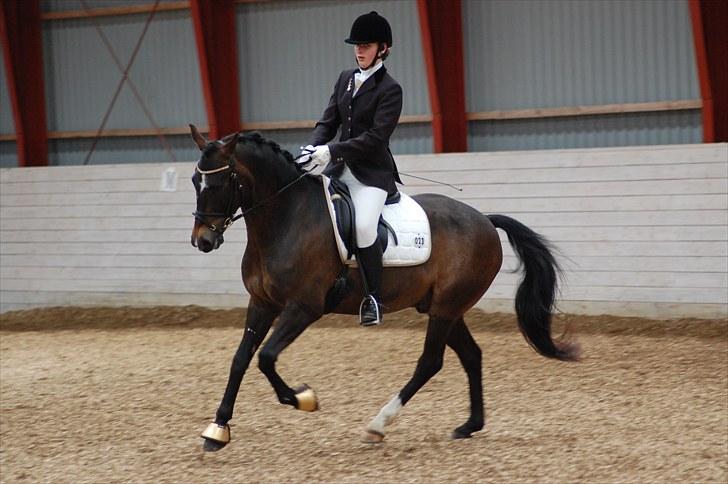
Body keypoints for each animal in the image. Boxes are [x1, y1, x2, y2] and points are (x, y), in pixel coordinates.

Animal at [188, 125, 580, 451]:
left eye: (219, 184)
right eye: (195, 181)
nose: (203, 241)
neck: (285, 218)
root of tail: (484, 219)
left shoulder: (303, 307)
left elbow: (266, 357)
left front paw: (303, 398)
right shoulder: (262, 303)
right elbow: (240, 359)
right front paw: (217, 430)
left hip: (446, 308)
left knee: (430, 362)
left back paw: (378, 424)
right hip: (443, 308)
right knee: (471, 355)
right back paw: (469, 425)